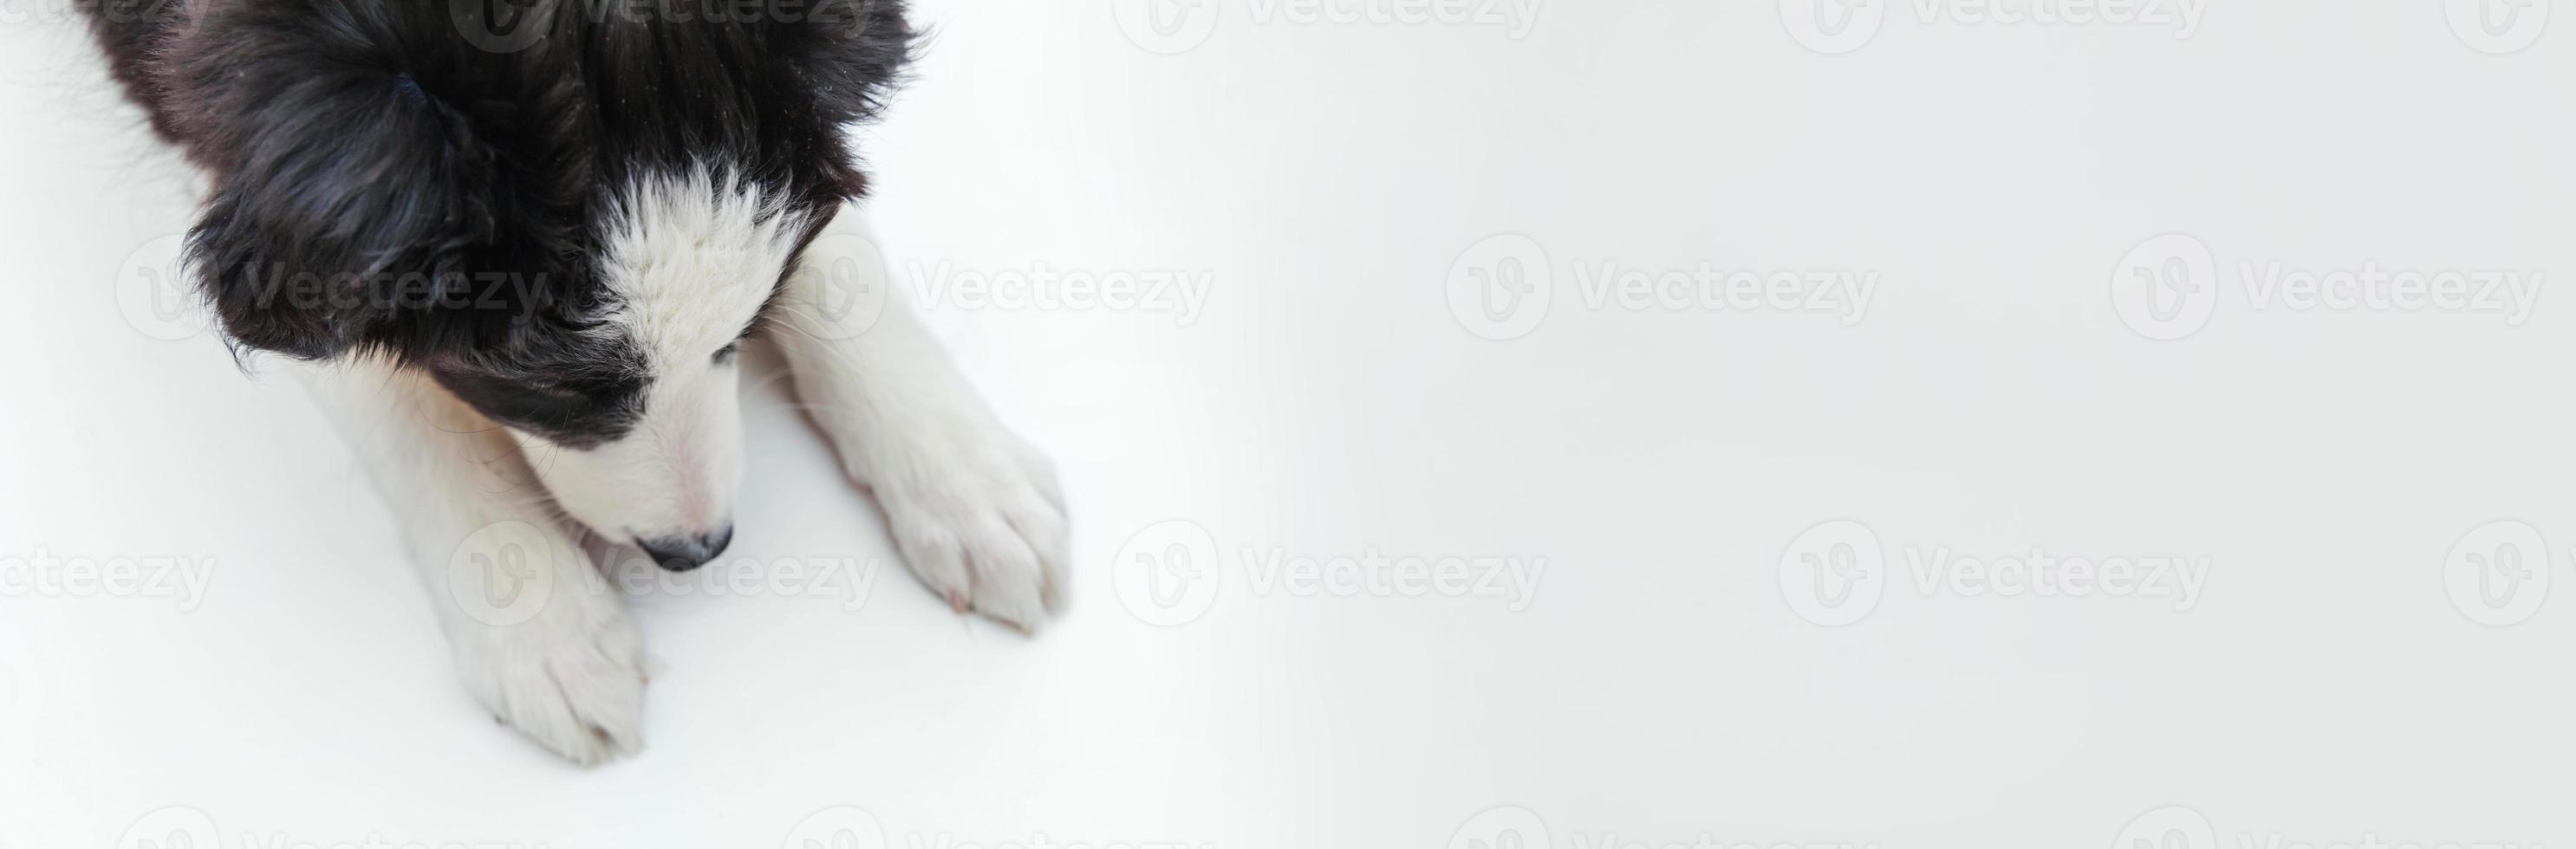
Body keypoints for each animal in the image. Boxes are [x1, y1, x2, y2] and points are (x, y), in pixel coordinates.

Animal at [77, 0, 1066, 766]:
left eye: (747, 330)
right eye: (553, 392)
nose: (698, 549)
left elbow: (830, 247)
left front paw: (968, 481)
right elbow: (370, 364)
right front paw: (539, 615)